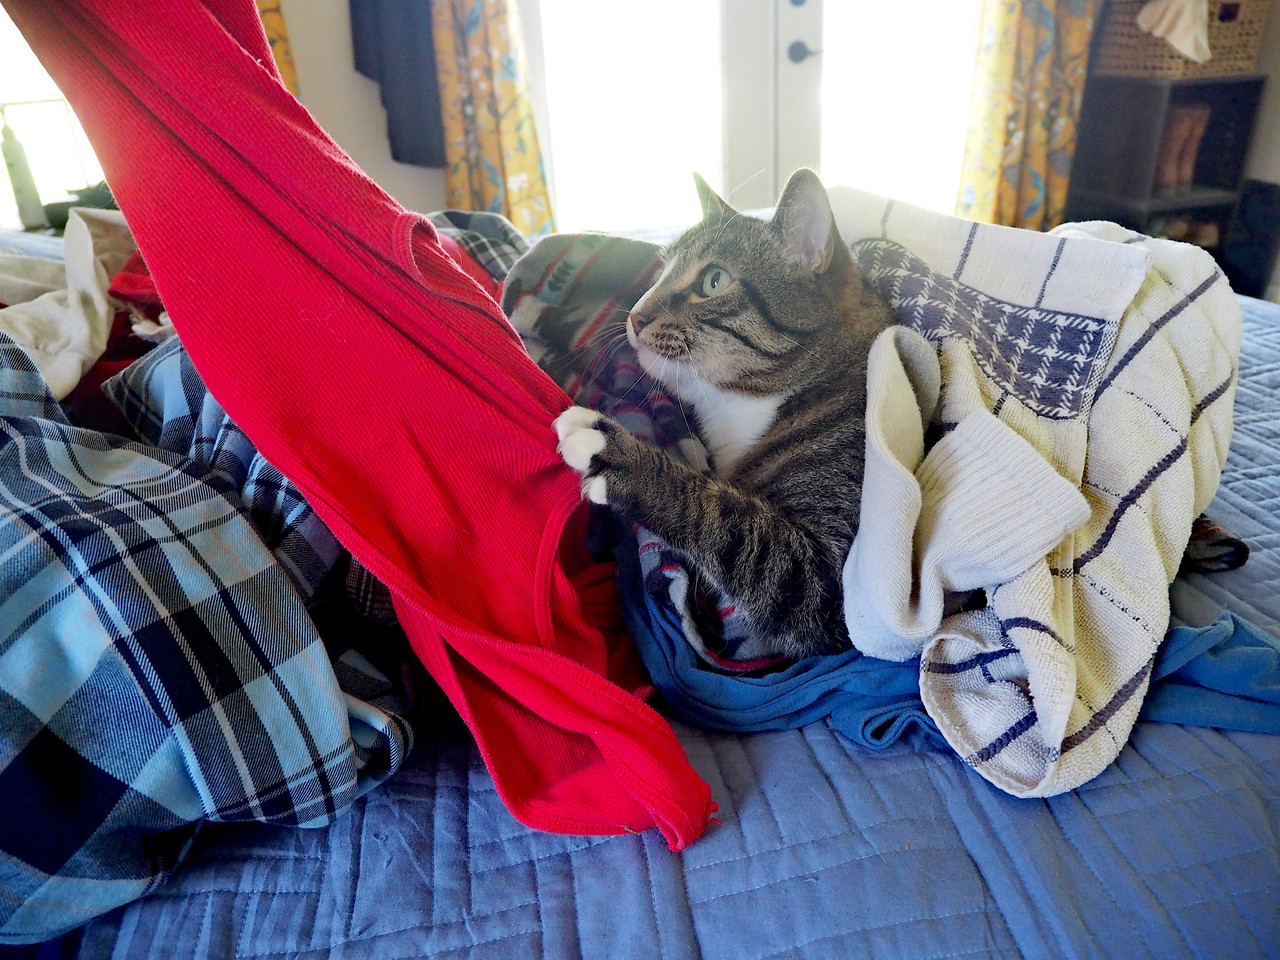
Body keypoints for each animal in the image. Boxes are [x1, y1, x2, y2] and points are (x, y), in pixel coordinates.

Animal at [555, 168, 894, 659]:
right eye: (661, 271)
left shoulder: (832, 586)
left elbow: (731, 520)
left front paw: (616, 452)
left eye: (714, 281)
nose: (634, 316)